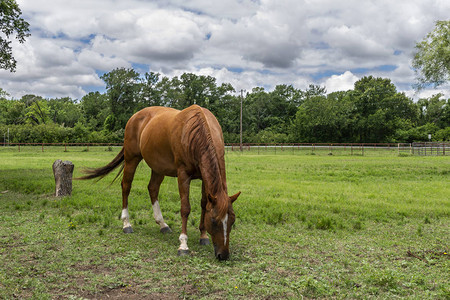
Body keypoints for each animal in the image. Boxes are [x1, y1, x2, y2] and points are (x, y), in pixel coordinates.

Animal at [78, 105, 239, 260]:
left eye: (232, 221)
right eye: (214, 221)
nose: (223, 255)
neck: (195, 131)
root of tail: (135, 116)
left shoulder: (205, 178)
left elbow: (204, 204)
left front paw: (203, 236)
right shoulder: (183, 175)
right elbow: (185, 208)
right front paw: (183, 245)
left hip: (158, 167)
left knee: (153, 188)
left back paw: (162, 224)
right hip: (131, 159)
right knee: (126, 186)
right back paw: (126, 223)